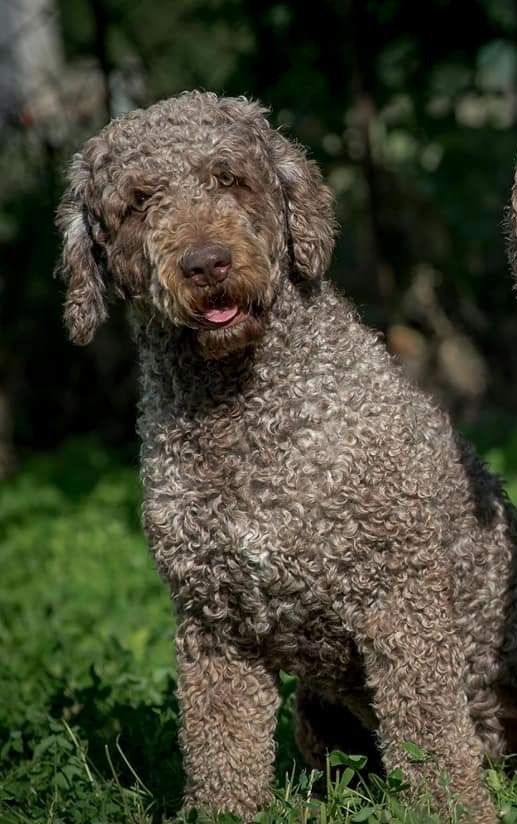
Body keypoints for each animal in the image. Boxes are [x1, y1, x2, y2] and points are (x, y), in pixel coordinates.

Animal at [58, 91, 516, 824]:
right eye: (138, 201)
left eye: (228, 178)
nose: (206, 263)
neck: (245, 419)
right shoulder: (214, 622)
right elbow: (222, 750)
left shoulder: (400, 598)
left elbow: (431, 735)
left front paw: (455, 810)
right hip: (318, 714)